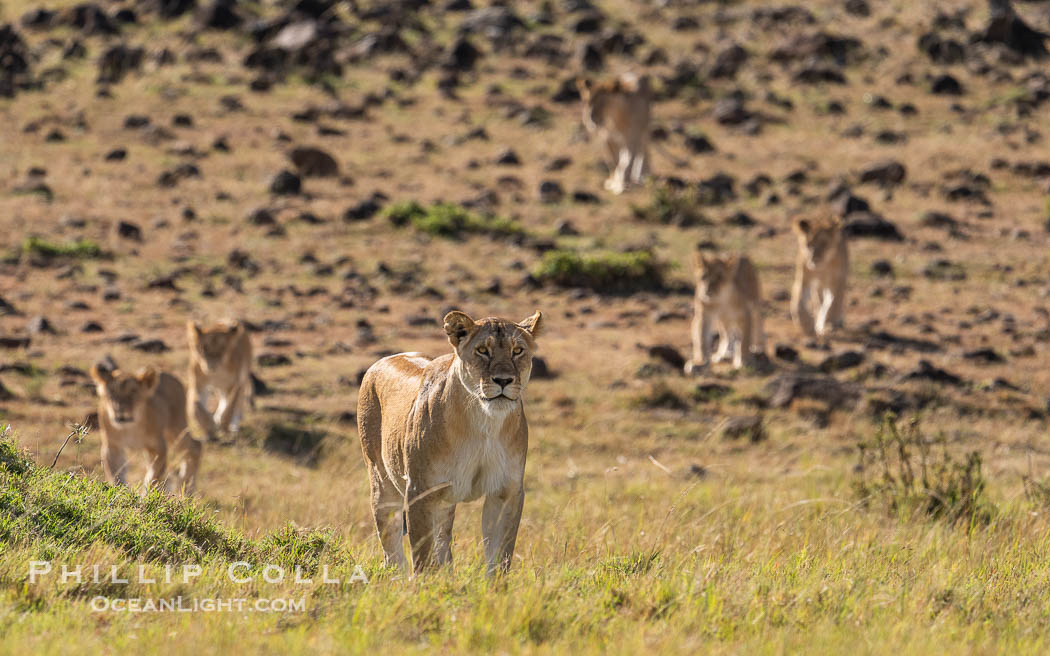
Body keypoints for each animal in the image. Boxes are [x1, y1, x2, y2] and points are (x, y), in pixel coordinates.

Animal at [90, 362, 202, 494]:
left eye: (133, 392)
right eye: (112, 393)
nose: (119, 410)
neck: (130, 428)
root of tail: (168, 374)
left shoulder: (158, 448)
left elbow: (152, 477)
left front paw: (146, 495)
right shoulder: (113, 446)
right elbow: (116, 474)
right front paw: (120, 492)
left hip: (176, 428)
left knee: (195, 446)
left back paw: (187, 488)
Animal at [357, 310, 544, 576]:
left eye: (517, 350)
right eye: (482, 350)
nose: (503, 380)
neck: (483, 422)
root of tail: (384, 359)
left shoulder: (506, 491)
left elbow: (500, 556)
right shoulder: (421, 490)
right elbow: (422, 556)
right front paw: (425, 586)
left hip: (444, 503)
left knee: (442, 540)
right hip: (382, 483)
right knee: (391, 546)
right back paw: (398, 578)